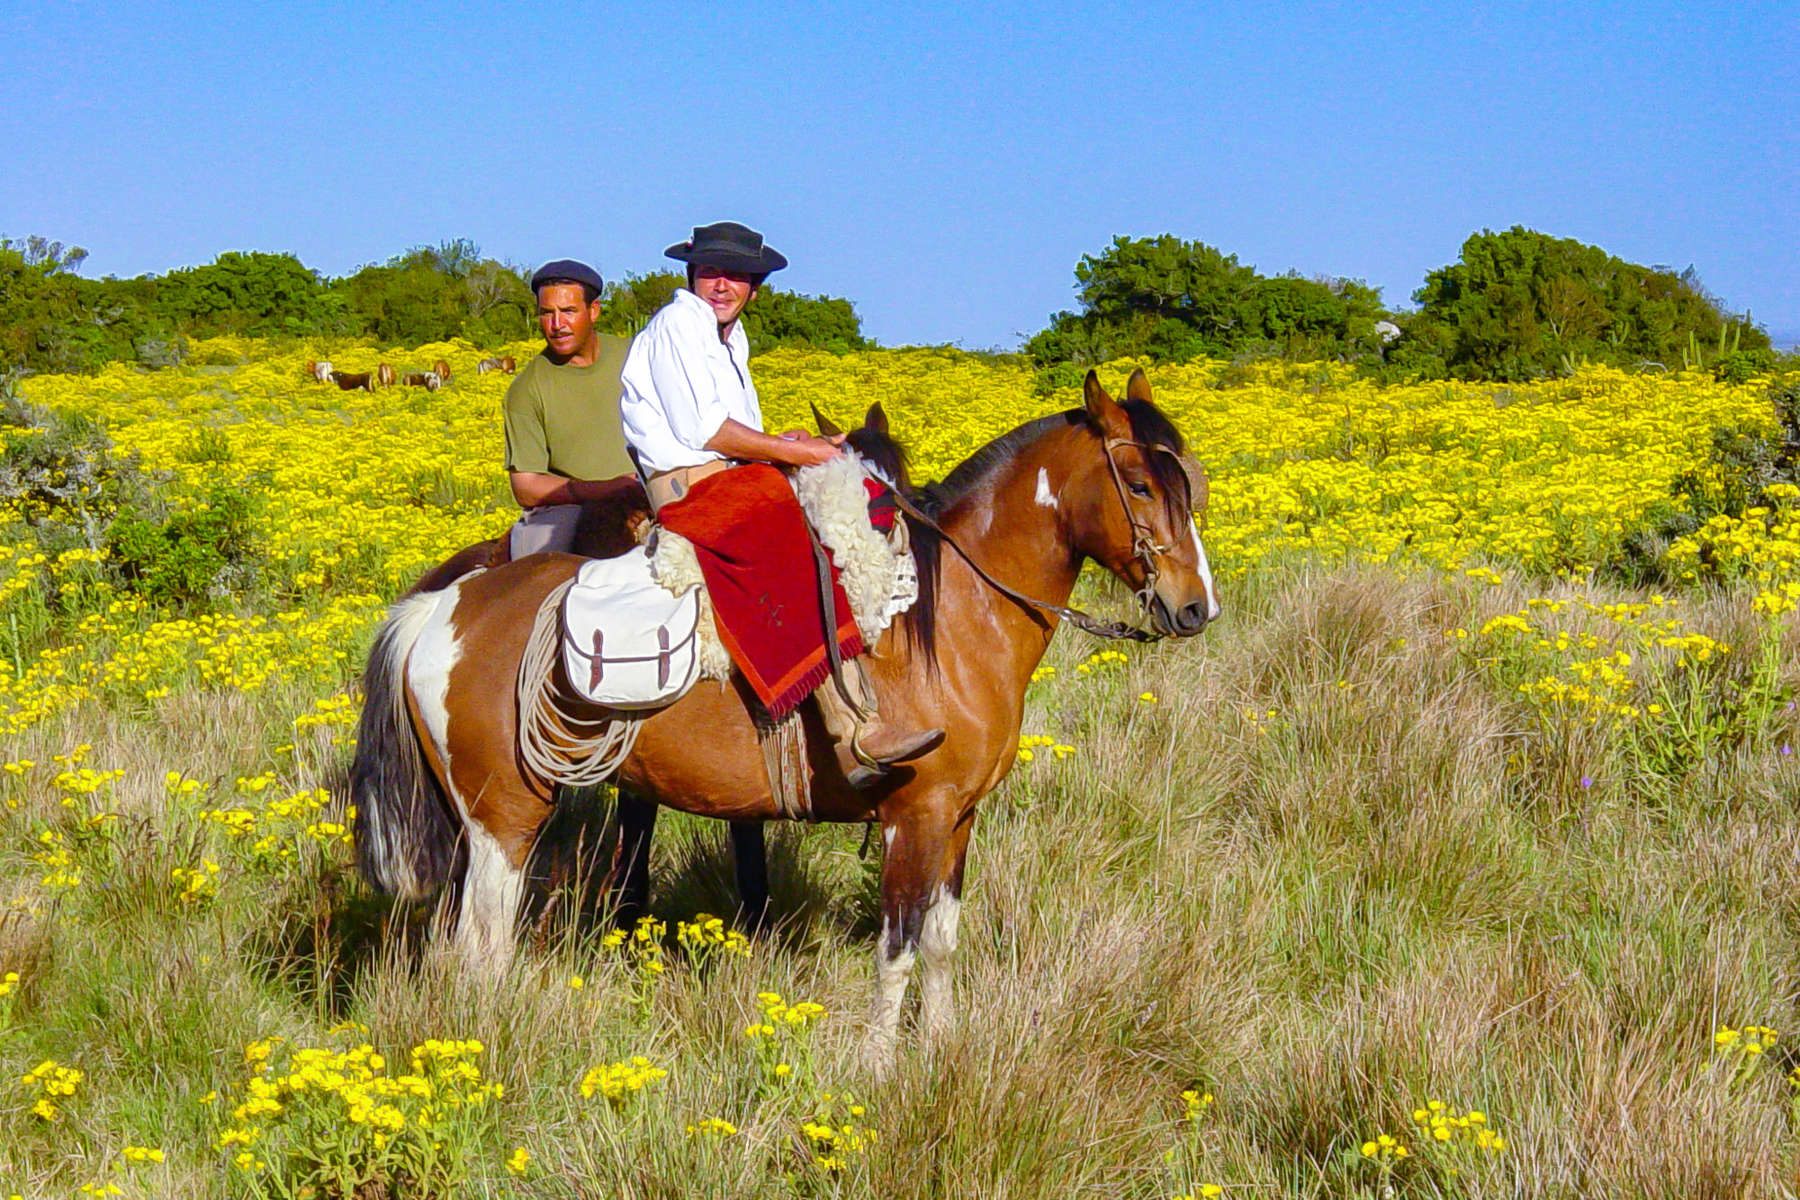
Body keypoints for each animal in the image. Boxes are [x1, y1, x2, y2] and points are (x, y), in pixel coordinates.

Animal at [347, 370, 1224, 1065]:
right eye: (1138, 484)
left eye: (1189, 484)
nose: (1195, 607)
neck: (950, 620)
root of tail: (443, 607)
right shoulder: (916, 814)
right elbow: (898, 946)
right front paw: (878, 1068)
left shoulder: (961, 818)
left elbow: (942, 941)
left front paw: (941, 1049)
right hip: (505, 817)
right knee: (482, 946)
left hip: (479, 824)